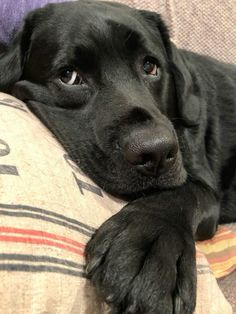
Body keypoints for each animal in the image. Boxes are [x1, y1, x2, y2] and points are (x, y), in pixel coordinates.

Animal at [0, 1, 236, 312]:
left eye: (150, 66)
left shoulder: (202, 183)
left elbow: (181, 193)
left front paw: (150, 242)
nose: (156, 151)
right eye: (69, 76)